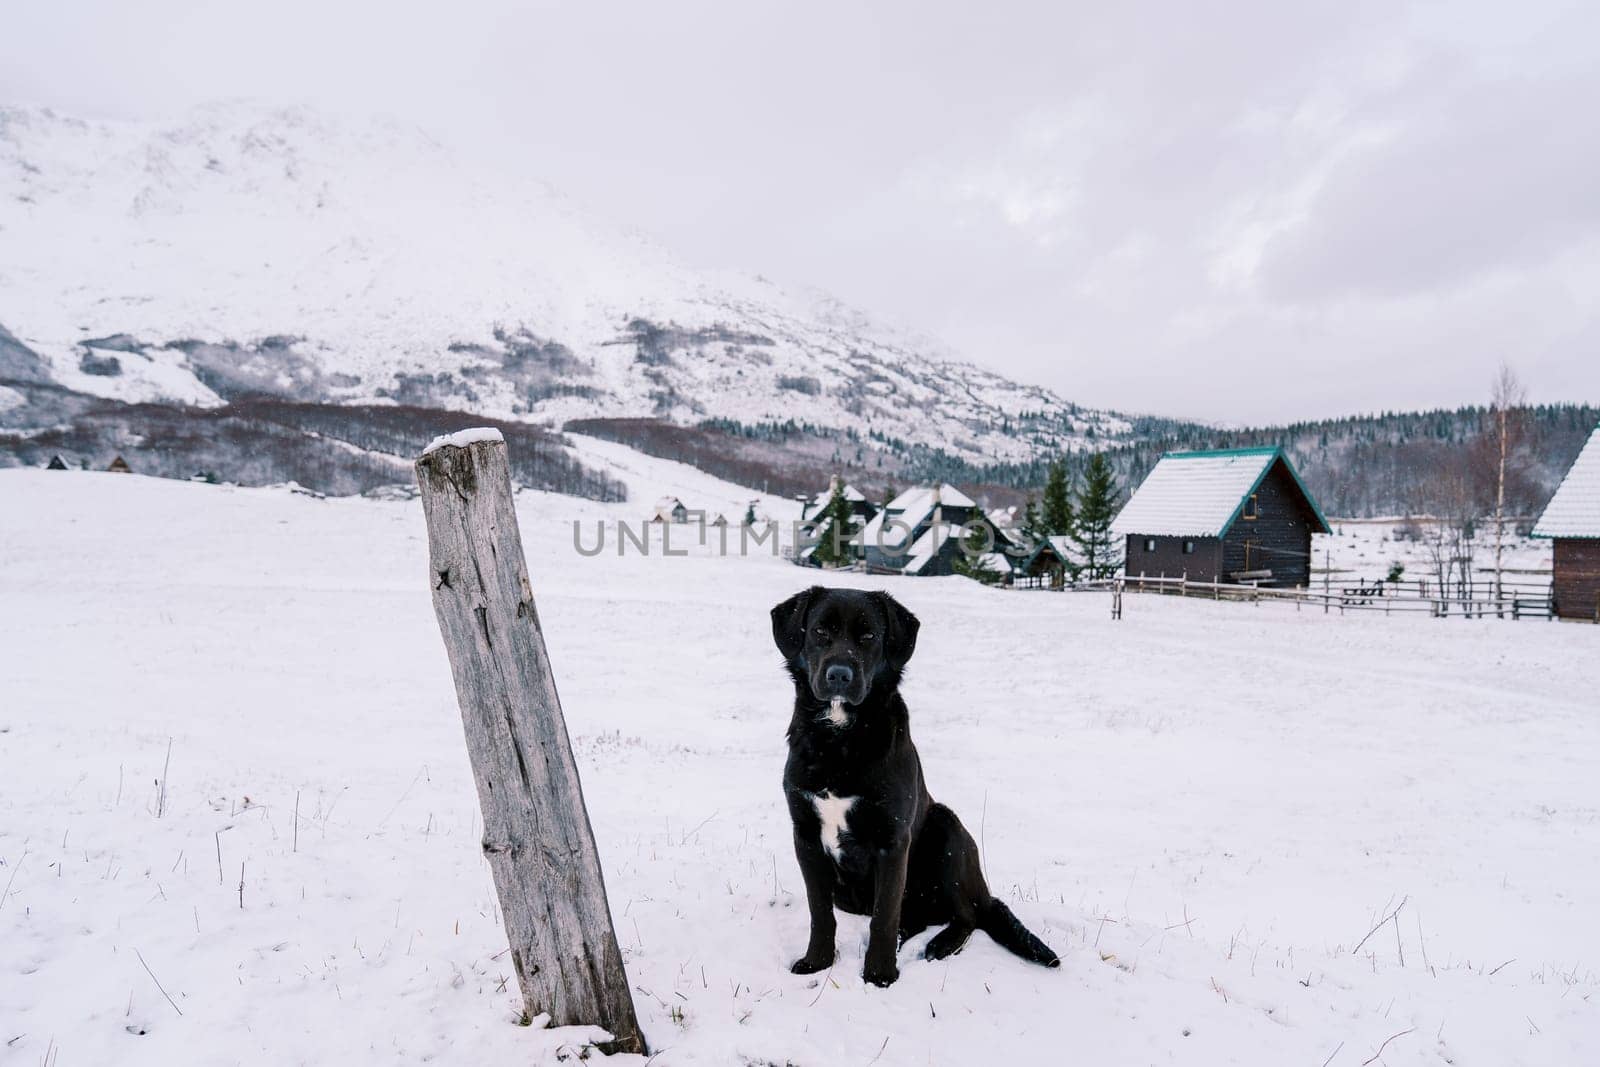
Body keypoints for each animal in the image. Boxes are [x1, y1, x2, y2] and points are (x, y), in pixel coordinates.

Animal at [774, 588, 1062, 991]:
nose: (839, 675)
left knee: (966, 915)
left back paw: (939, 945)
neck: (840, 738)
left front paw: (879, 975)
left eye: (868, 635)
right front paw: (816, 962)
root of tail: (983, 890)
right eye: (819, 631)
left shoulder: (893, 841)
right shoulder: (805, 836)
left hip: (947, 828)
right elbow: (821, 911)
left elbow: (884, 915)